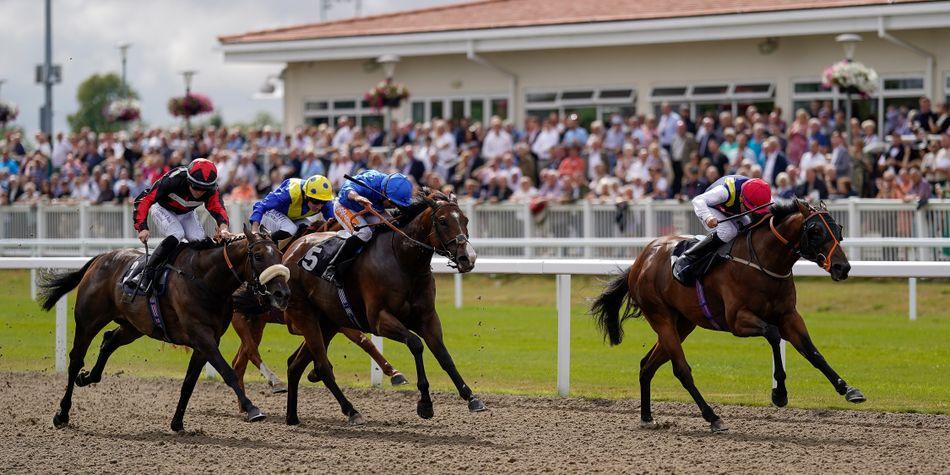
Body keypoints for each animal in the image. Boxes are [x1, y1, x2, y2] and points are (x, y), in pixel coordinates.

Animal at [37, 229, 292, 434]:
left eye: (280, 255)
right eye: (258, 256)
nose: (283, 294)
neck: (204, 280)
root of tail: (101, 258)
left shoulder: (206, 342)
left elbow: (189, 382)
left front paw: (177, 423)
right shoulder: (202, 337)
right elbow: (227, 373)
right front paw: (252, 408)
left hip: (134, 326)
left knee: (109, 341)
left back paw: (87, 377)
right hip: (88, 321)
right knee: (75, 359)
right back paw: (62, 413)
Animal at [274, 188, 488, 426]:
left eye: (465, 220)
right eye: (442, 221)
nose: (468, 258)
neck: (403, 261)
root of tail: (291, 250)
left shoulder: (428, 318)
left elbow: (444, 355)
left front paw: (471, 397)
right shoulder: (379, 319)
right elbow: (416, 344)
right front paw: (425, 403)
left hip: (328, 322)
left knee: (296, 365)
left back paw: (292, 417)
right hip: (305, 316)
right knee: (322, 367)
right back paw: (352, 411)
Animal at [592, 201, 868, 436]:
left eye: (838, 229)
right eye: (816, 231)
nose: (843, 268)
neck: (763, 261)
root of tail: (640, 261)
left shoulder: (789, 316)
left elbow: (813, 353)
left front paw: (848, 389)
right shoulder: (738, 320)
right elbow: (772, 334)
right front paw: (779, 393)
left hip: (683, 323)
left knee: (647, 364)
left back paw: (647, 417)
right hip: (661, 317)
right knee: (681, 370)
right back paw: (713, 418)